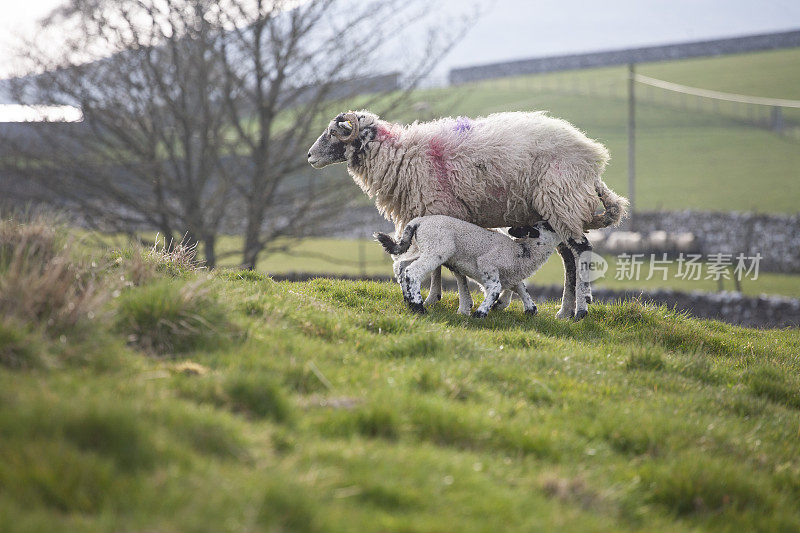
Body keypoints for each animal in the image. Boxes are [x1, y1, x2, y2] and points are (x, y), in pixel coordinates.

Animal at [374, 215, 556, 316]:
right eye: (548, 225)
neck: (521, 251)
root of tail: (419, 221)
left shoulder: (511, 275)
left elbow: (521, 287)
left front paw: (531, 309)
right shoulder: (487, 264)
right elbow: (495, 288)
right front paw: (480, 313)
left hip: (422, 248)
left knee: (401, 266)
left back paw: (408, 299)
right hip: (437, 249)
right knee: (412, 272)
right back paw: (418, 307)